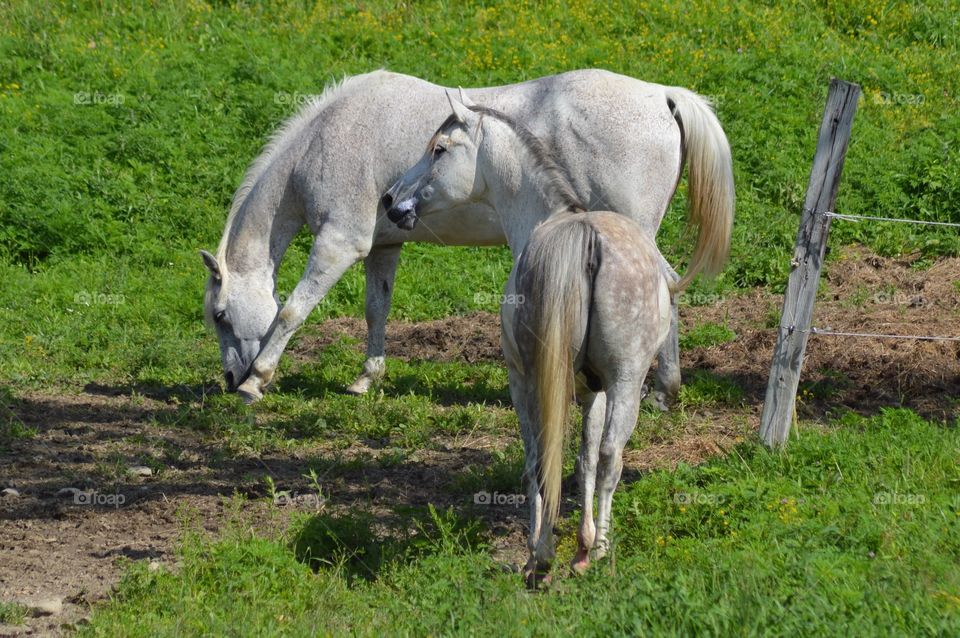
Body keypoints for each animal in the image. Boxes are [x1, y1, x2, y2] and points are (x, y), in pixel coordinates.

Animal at [199, 69, 732, 410]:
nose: (228, 379)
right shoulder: (383, 250)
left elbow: (292, 310)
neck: (325, 139)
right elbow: (376, 311)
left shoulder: (339, 245)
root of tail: (662, 95)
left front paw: (258, 381)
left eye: (220, 315)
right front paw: (366, 379)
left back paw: (660, 388)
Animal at [384, 94, 728, 584]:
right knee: (609, 456)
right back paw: (594, 551)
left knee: (544, 460)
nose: (392, 201)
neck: (551, 217)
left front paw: (545, 550)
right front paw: (583, 540)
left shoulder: (523, 378)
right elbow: (586, 460)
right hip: (624, 382)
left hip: (537, 381)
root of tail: (589, 240)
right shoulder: (593, 389)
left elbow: (545, 464)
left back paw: (546, 554)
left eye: (439, 149)